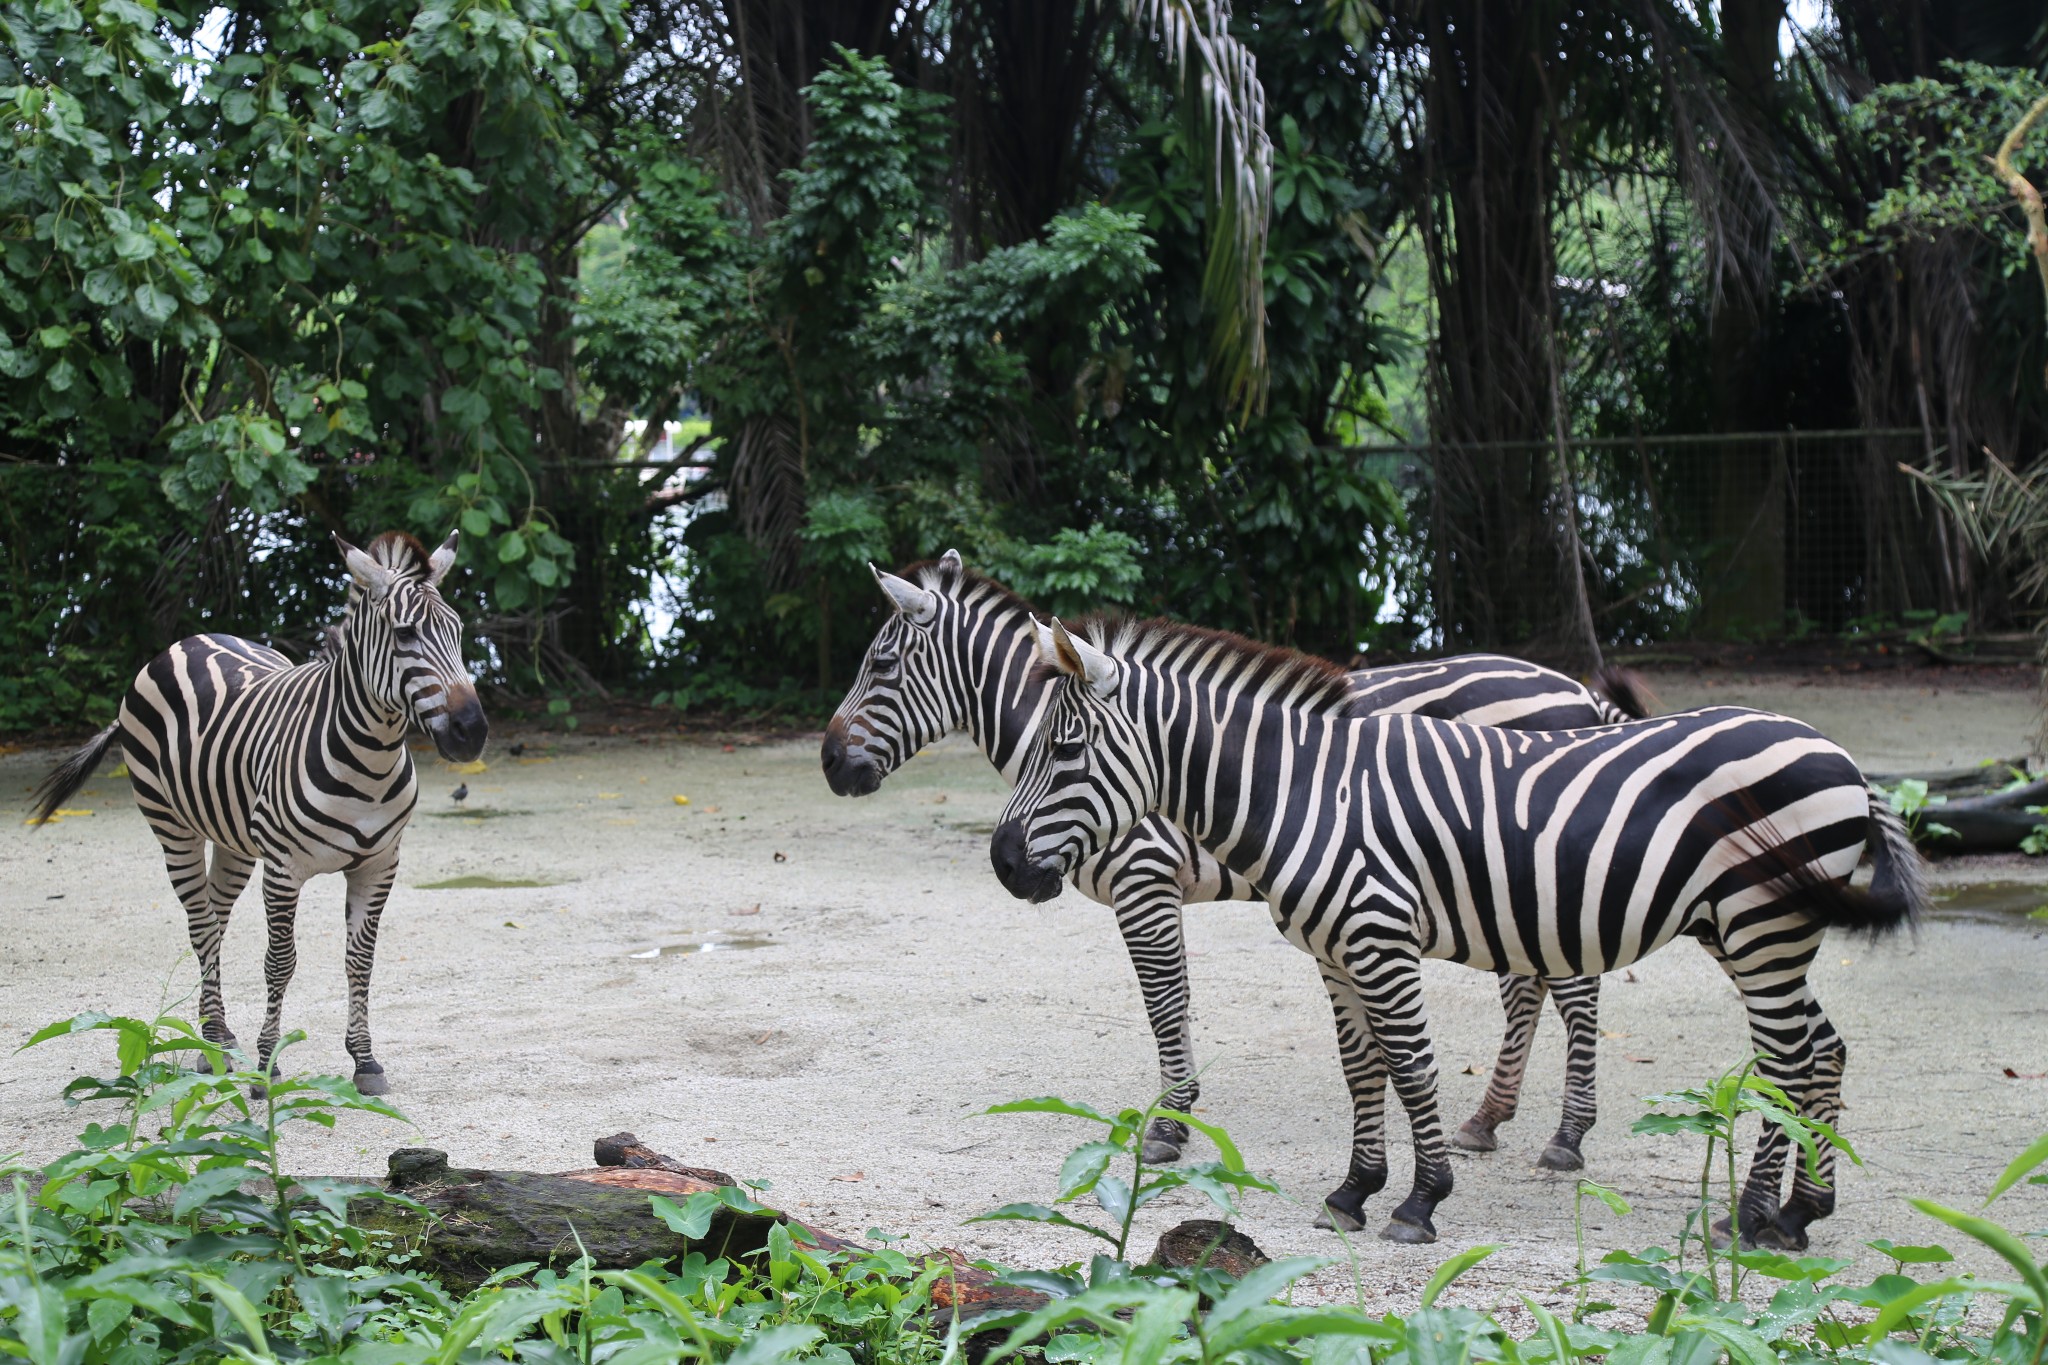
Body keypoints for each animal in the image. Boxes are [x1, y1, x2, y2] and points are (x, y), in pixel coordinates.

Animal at [29, 527, 485, 1096]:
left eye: (458, 631)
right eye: (405, 635)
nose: (472, 732)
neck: (370, 760)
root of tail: (187, 641)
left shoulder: (380, 865)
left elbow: (360, 961)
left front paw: (364, 1060)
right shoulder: (284, 870)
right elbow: (279, 963)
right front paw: (268, 1068)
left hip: (234, 843)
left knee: (214, 919)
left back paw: (215, 1038)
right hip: (173, 829)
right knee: (201, 926)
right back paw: (217, 1045)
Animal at [815, 556, 1646, 1178]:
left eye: (880, 663)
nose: (827, 764)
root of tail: (1575, 689)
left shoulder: (1144, 878)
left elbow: (1164, 1001)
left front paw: (1170, 1123)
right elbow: (1176, 1000)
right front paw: (1180, 1109)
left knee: (1572, 989)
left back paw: (1566, 1135)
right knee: (1529, 985)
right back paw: (1487, 1117)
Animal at [987, 618, 1916, 1252]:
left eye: (1065, 749)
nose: (1002, 862)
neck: (1305, 795)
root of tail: (1841, 754)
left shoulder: (1378, 936)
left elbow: (1411, 1065)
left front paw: (1420, 1198)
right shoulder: (1334, 951)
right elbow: (1362, 1069)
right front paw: (1354, 1190)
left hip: (1763, 925)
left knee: (1789, 1060)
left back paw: (1750, 1217)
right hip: (1753, 930)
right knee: (1822, 1049)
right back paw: (1801, 1212)